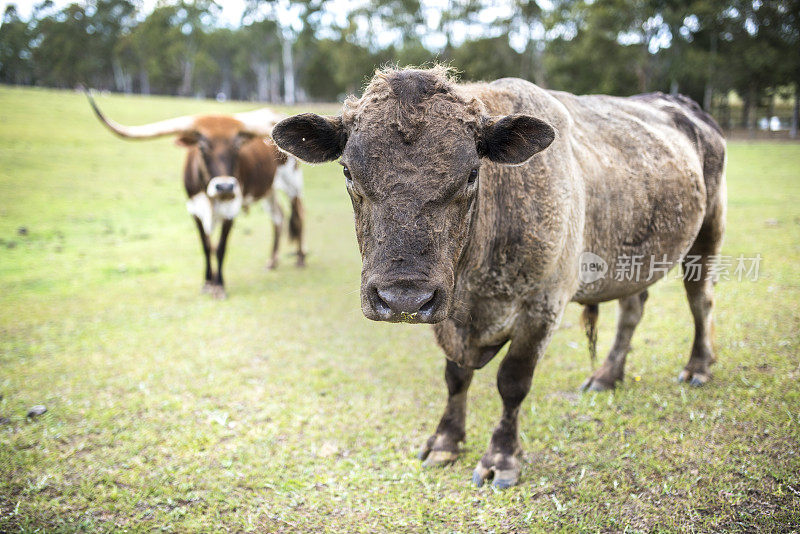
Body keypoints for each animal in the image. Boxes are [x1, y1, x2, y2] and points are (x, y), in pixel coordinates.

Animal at [86, 93, 306, 302]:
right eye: (202, 146)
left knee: (298, 215)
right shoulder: (194, 209)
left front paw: (219, 287)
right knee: (278, 217)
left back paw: (301, 259)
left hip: (292, 182)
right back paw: (272, 261)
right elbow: (206, 246)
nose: (225, 186)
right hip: (268, 190)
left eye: (236, 146)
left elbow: (220, 248)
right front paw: (208, 283)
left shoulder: (231, 208)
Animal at [272, 67, 728, 490]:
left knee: (700, 300)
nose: (404, 299)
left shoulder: (543, 307)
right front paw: (446, 440)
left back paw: (698, 366)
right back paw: (607, 375)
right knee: (632, 309)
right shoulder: (452, 320)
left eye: (473, 173)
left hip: (707, 234)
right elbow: (456, 376)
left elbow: (512, 382)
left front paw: (501, 457)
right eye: (348, 172)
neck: (473, 290)